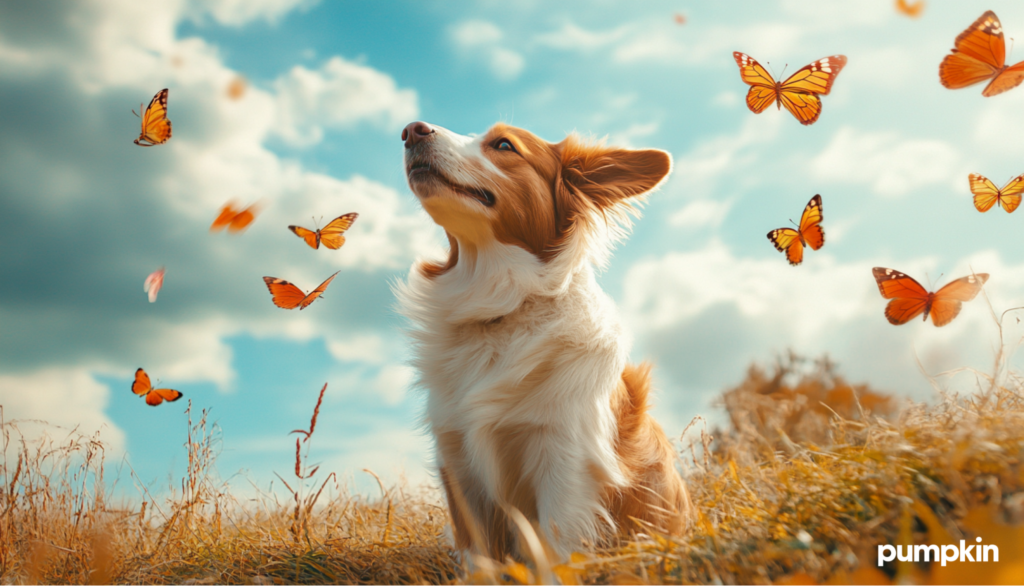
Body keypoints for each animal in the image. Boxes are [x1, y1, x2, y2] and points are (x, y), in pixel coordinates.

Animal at [397, 118, 688, 557]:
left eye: (504, 145)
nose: (412, 130)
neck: (501, 308)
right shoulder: (458, 459)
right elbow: (480, 556)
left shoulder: (565, 460)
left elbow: (555, 551)